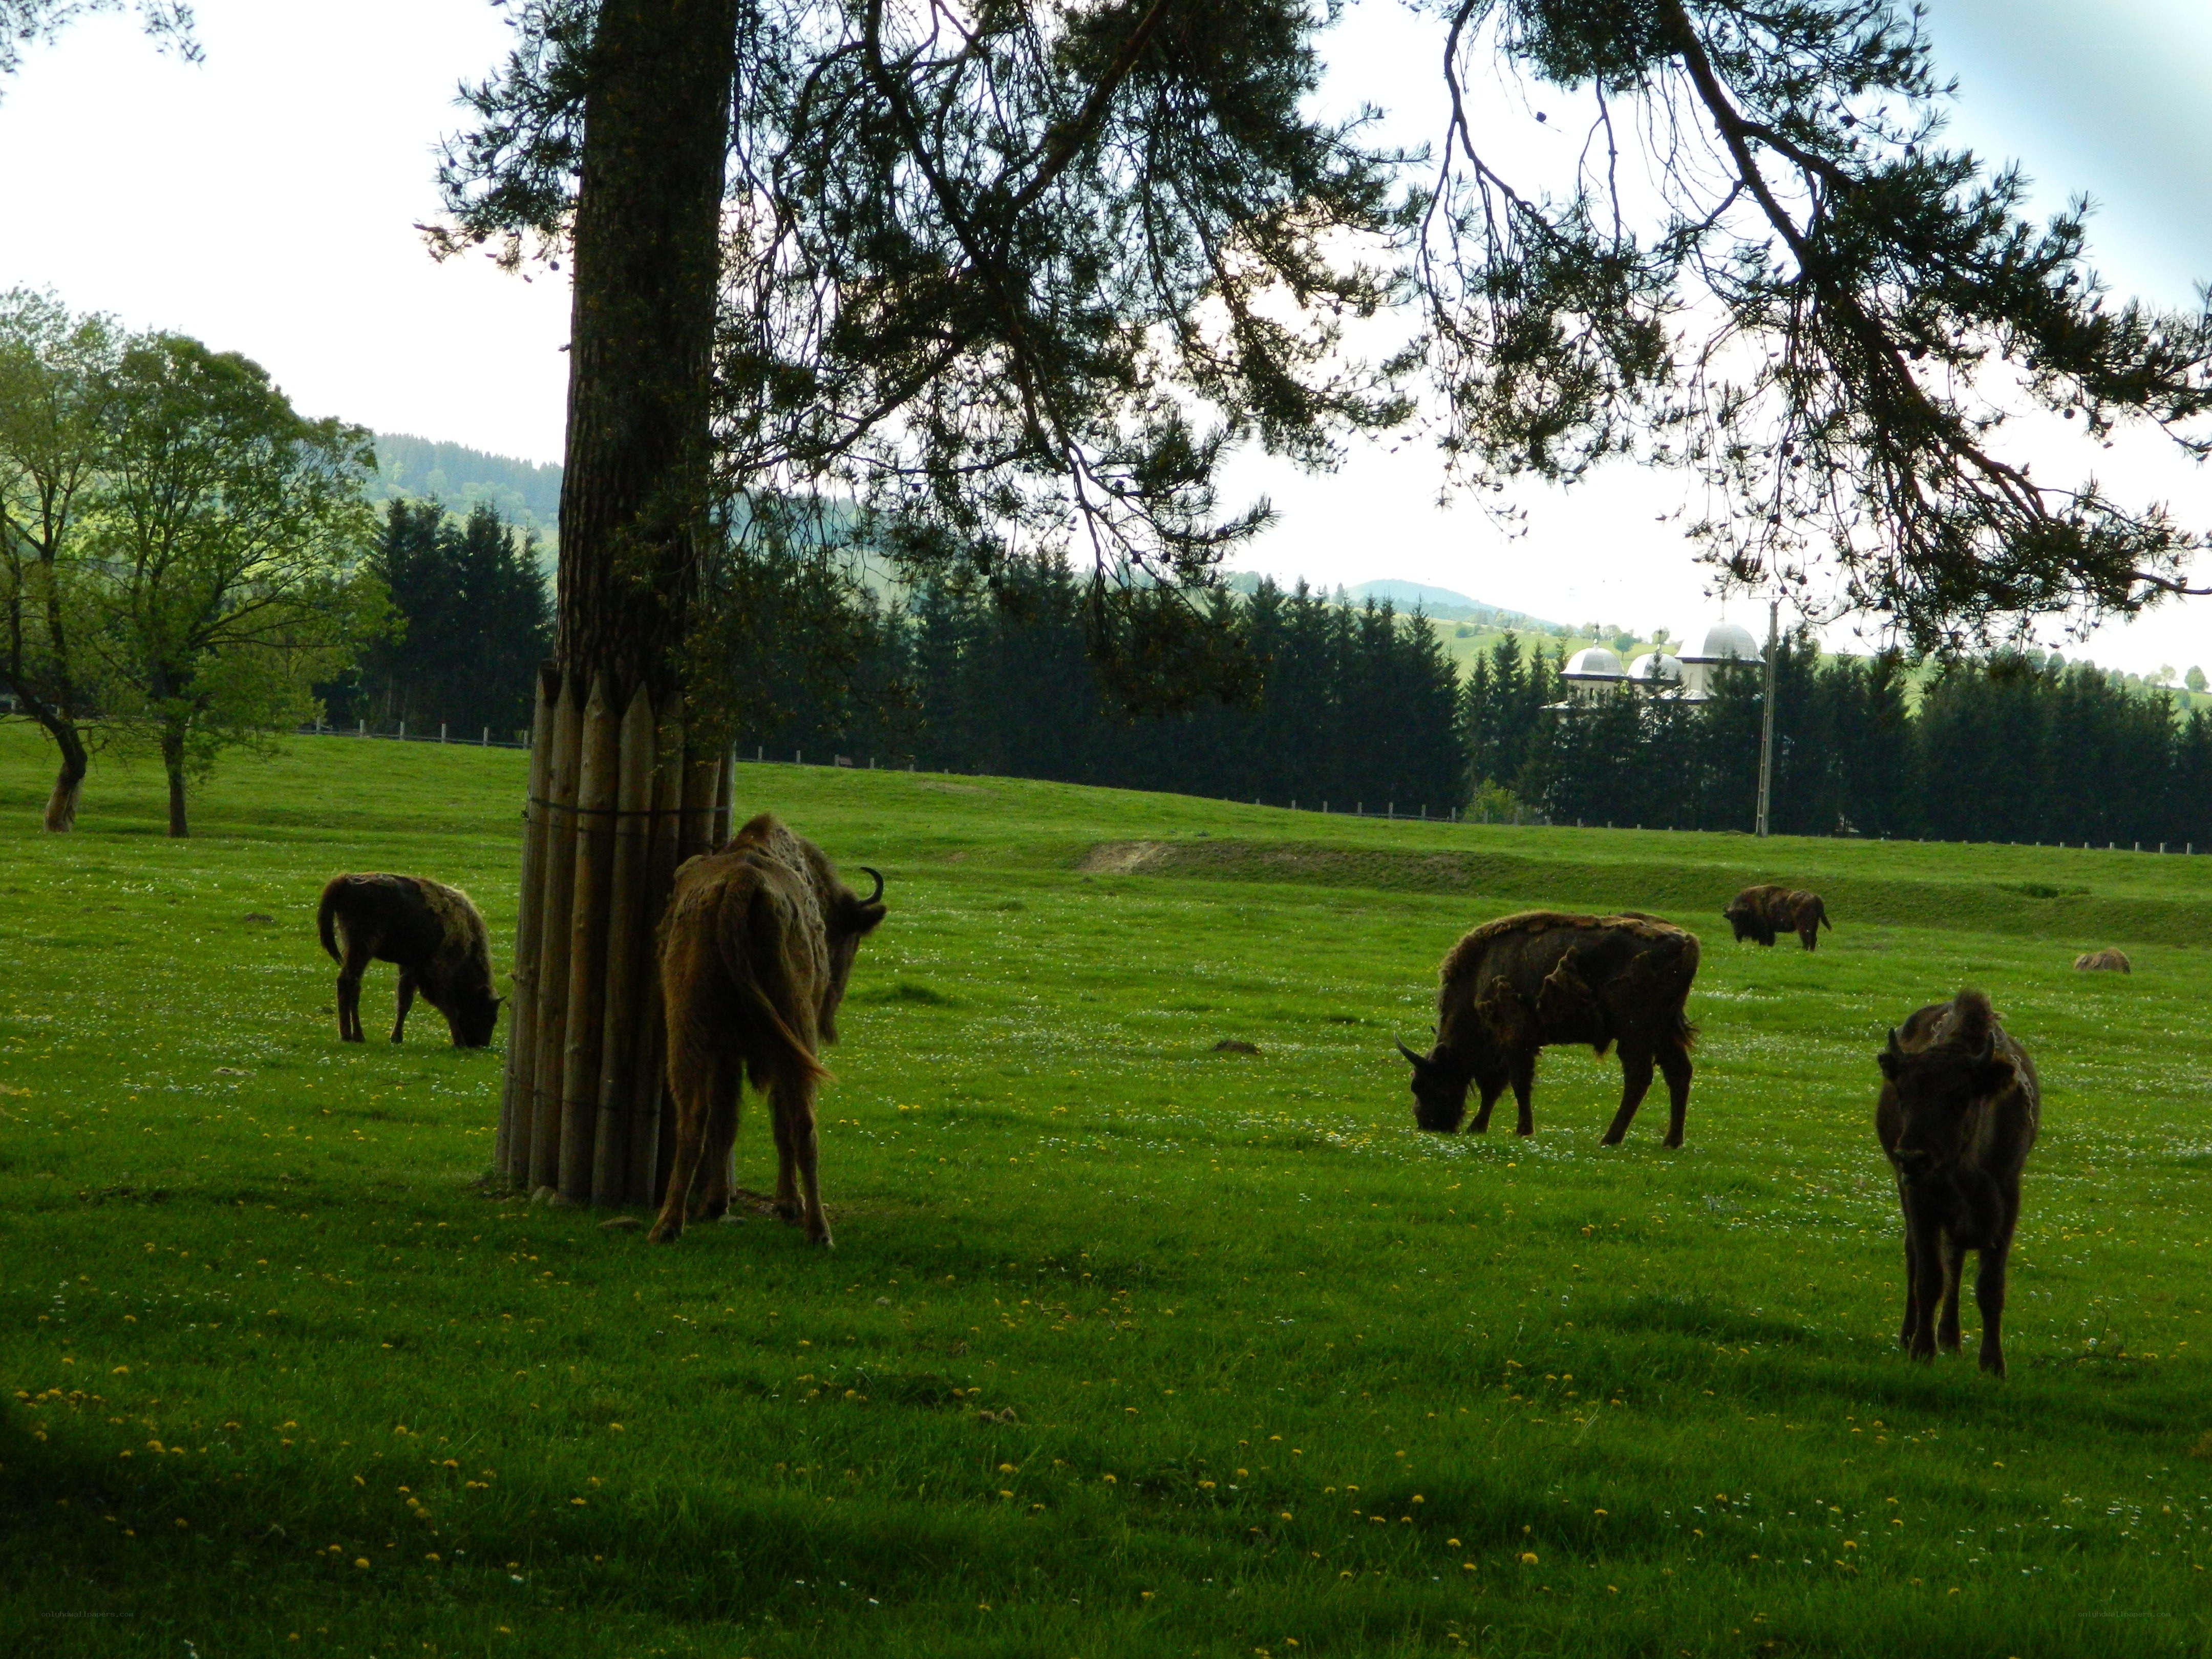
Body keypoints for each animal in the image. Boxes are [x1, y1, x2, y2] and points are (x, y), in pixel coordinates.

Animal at [317, 873, 501, 1047]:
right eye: (489, 1016)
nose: (480, 1044)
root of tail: (345, 880)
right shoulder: (438, 970)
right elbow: (448, 1006)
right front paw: (459, 1042)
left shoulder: (410, 966)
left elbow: (405, 1001)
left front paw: (397, 1038)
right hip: (362, 949)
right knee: (347, 982)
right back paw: (350, 1036)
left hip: (355, 951)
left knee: (354, 985)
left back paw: (356, 1035)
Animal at [649, 814, 886, 1247]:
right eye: (851, 938)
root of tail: (742, 885)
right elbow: (777, 1123)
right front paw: (786, 1203)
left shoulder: (728, 1054)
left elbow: (727, 1121)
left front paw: (717, 1202)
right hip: (796, 1031)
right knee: (802, 1123)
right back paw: (816, 1228)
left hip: (690, 1028)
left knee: (695, 1117)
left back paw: (669, 1225)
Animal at [1397, 910, 1699, 1147]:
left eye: (1420, 1084)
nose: (1428, 1124)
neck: (1477, 977)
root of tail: (1687, 943)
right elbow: (1497, 1086)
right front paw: (1480, 1127)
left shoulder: (1515, 1038)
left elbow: (1516, 1083)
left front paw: (1520, 1130)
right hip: (1664, 1031)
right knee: (1678, 1073)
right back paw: (1671, 1141)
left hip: (1634, 1033)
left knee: (1639, 1077)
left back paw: (1610, 1138)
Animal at [1723, 883, 1831, 950]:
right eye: (1731, 920)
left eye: (1742, 919)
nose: (1737, 934)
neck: (1750, 906)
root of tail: (1816, 898)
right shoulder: (1770, 930)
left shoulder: (1764, 930)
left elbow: (1765, 941)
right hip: (1814, 925)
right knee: (1813, 939)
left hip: (1803, 926)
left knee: (1806, 939)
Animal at [1875, 989, 2040, 1377]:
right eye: (1902, 1093)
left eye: (1960, 1096)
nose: (1911, 1157)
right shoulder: (1920, 1198)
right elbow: (1929, 1277)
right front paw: (1922, 1350)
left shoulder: (2007, 1200)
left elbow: (1989, 1285)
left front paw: (1993, 1364)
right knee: (1917, 1258)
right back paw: (1912, 1335)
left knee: (1956, 1259)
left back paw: (1951, 1339)